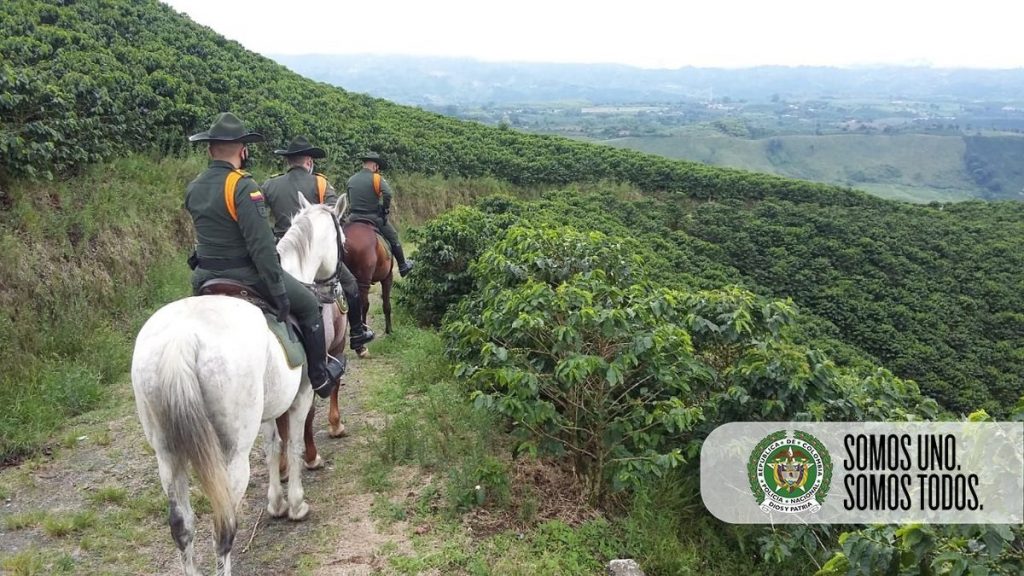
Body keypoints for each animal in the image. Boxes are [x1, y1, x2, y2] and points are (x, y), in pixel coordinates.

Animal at [132, 193, 346, 573]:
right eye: (343, 241)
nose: (332, 289)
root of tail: (180, 341)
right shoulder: (301, 396)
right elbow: (292, 443)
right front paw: (295, 505)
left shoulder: (269, 409)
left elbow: (273, 445)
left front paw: (276, 503)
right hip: (231, 455)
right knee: (224, 527)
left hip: (167, 454)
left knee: (181, 526)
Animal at [342, 218, 393, 354]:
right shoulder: (387, 277)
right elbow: (386, 305)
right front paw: (389, 331)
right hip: (363, 282)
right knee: (363, 306)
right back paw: (361, 340)